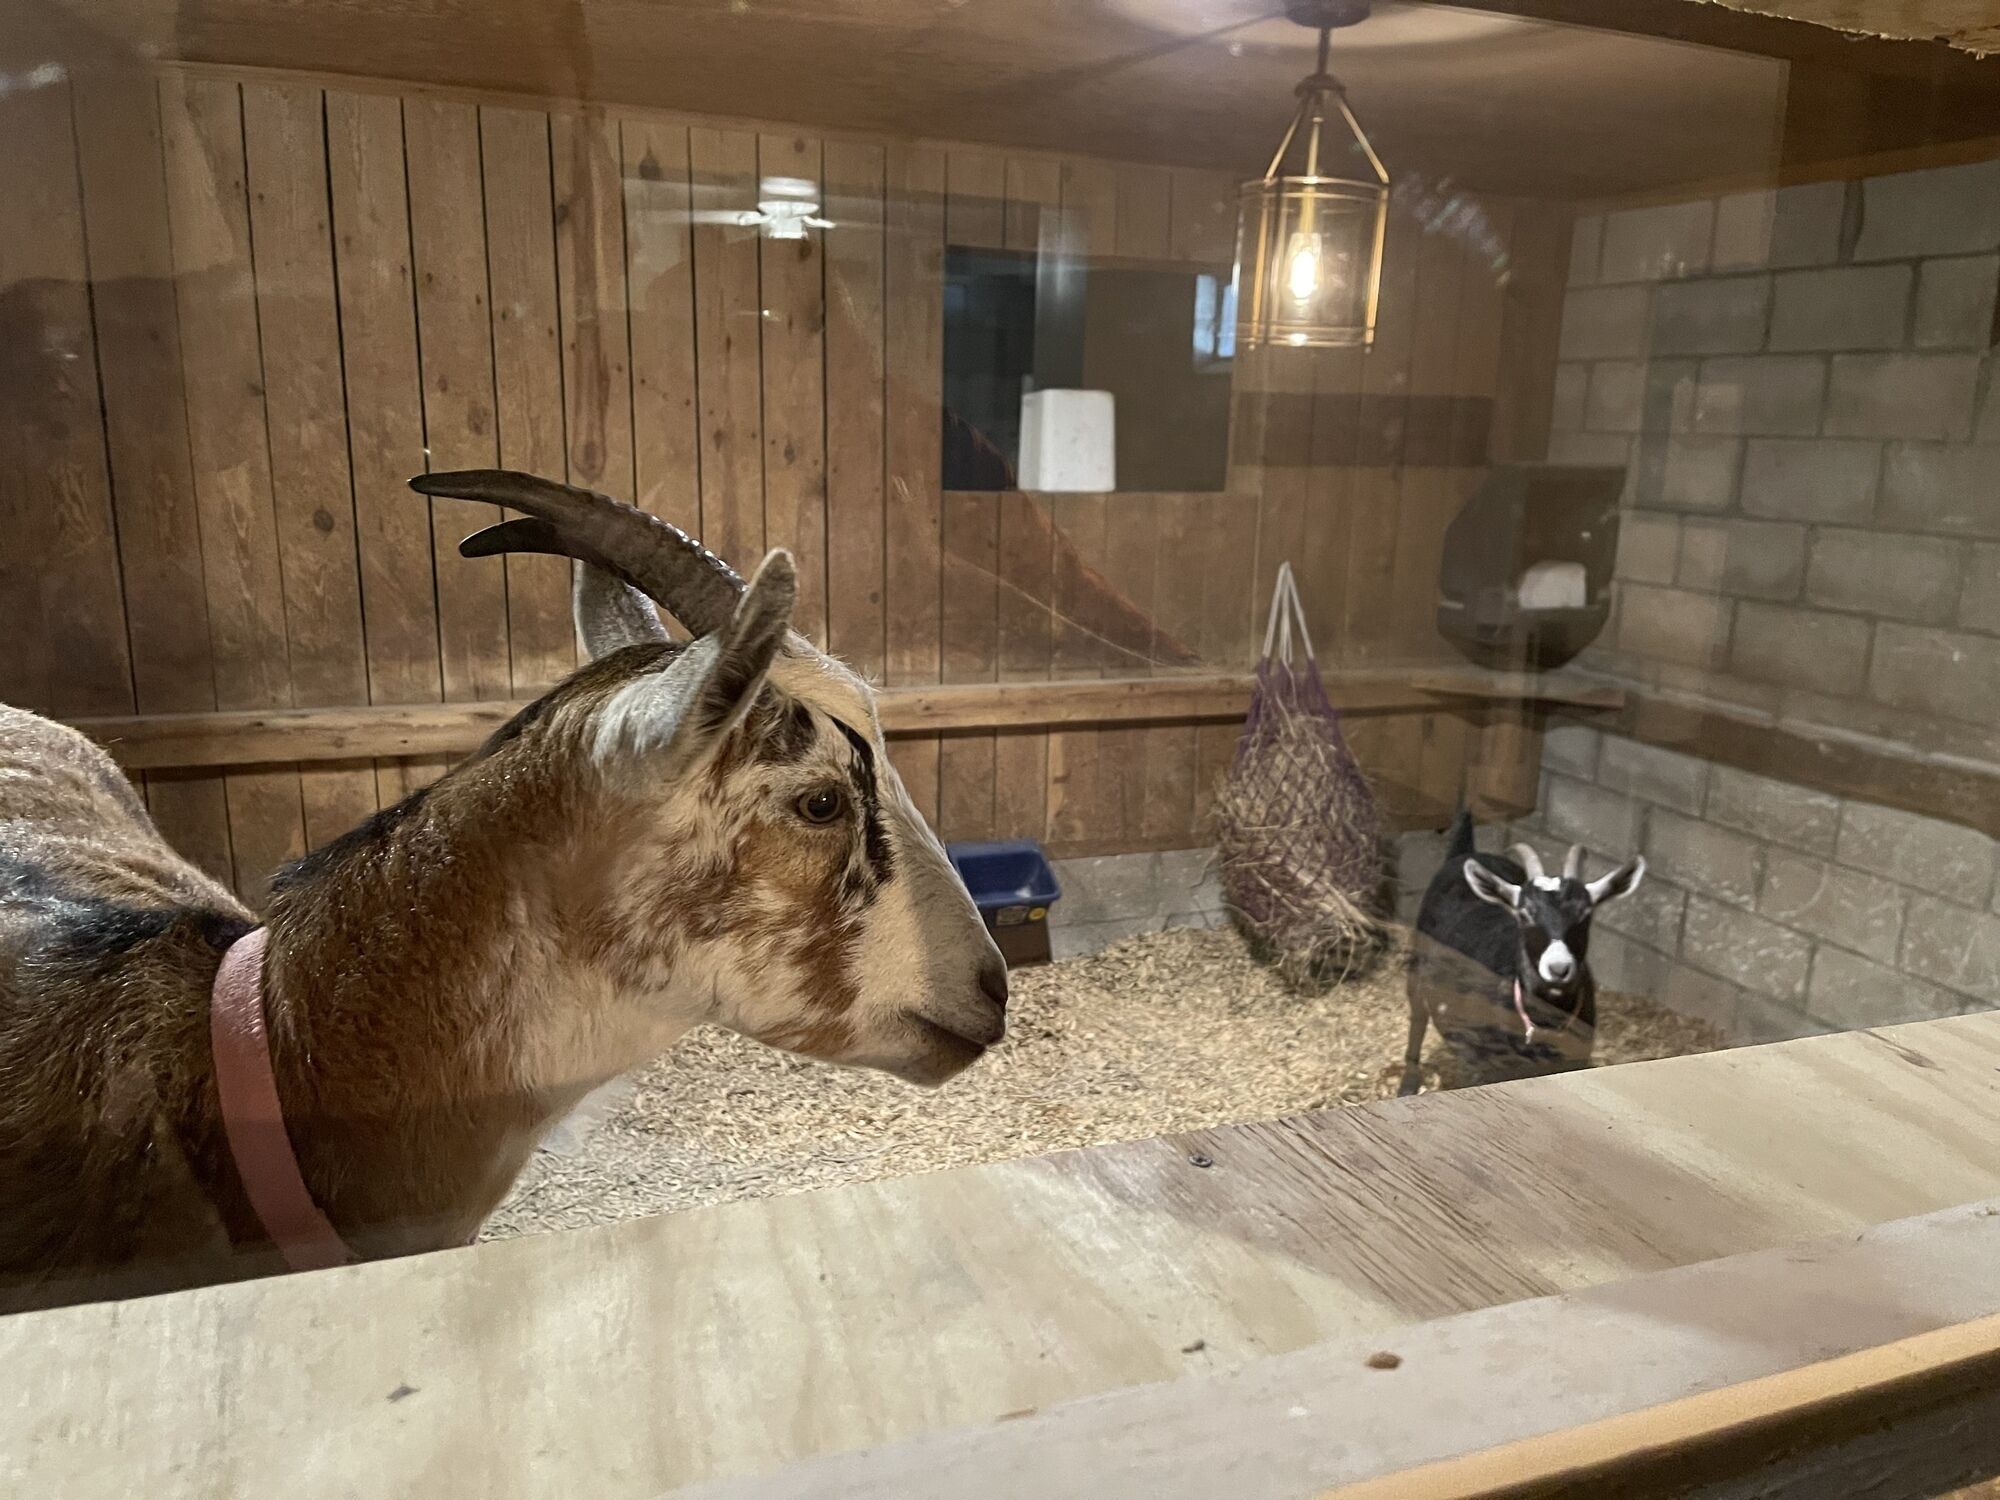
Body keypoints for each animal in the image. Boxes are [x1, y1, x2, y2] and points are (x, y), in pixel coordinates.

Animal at [1398, 810, 1643, 1096]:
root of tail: (1464, 853)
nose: (1558, 967)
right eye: (1524, 913)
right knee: (1418, 1014)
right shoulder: (1484, 1061)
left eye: (1585, 913)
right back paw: (1408, 1082)